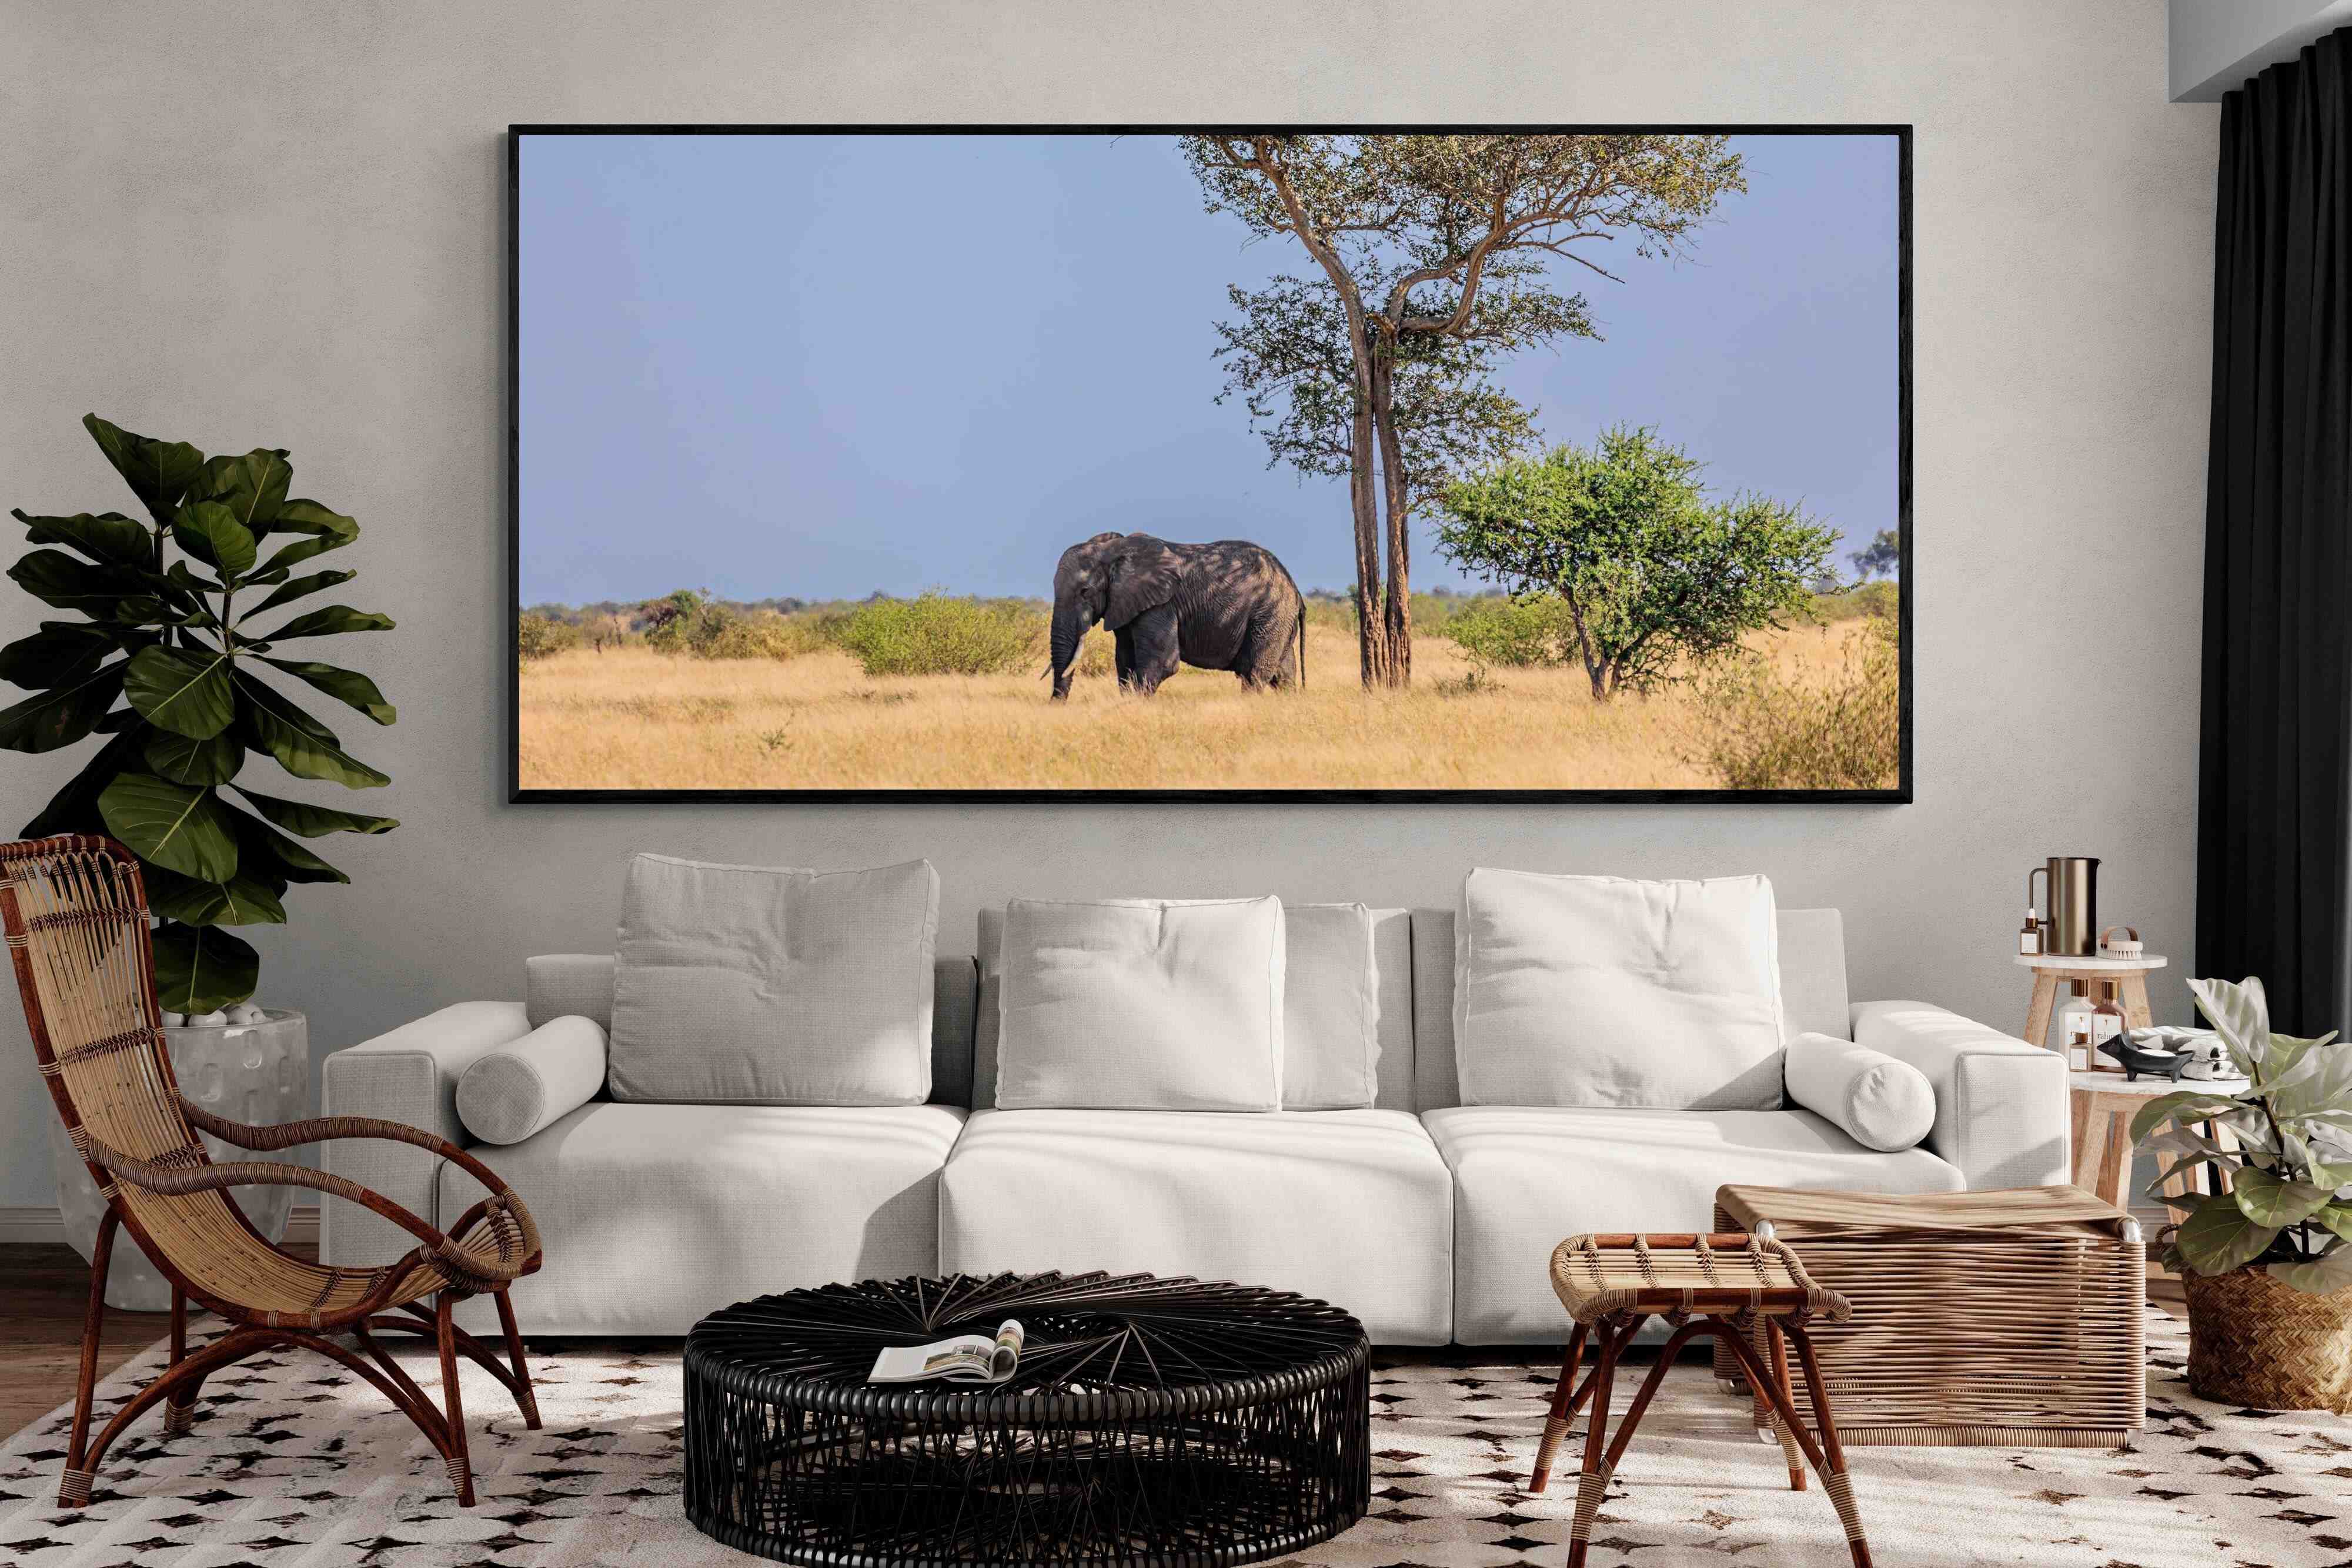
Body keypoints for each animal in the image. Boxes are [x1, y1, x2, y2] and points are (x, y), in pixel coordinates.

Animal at [1047, 531, 1307, 700]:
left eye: (1085, 592)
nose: (1056, 704)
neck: (1113, 550)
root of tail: (1294, 587)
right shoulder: (1125, 605)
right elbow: (1124, 662)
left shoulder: (1160, 605)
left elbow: (1162, 663)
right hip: (1278, 618)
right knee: (1283, 676)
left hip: (1269, 613)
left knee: (1253, 673)